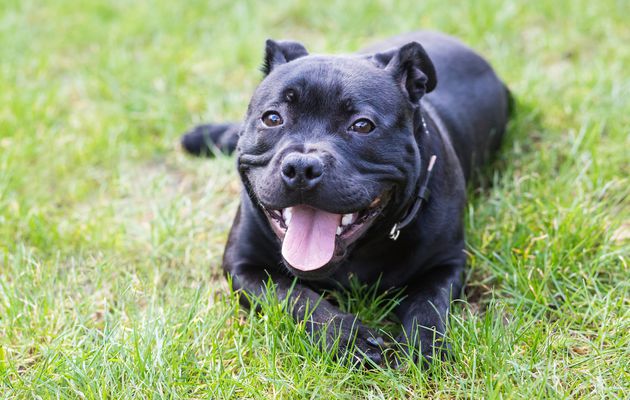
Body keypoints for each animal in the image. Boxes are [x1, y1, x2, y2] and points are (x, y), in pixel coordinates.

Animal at [180, 32, 512, 366]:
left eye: (362, 125)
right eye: (272, 118)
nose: (301, 167)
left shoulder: (446, 264)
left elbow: (428, 306)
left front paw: (424, 349)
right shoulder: (243, 265)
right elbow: (295, 296)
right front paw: (348, 338)